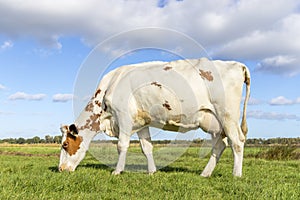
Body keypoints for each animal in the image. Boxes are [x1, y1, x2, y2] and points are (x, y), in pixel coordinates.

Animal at [58, 57, 251, 177]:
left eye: (65, 144)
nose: (60, 169)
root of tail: (237, 65)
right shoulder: (142, 123)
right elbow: (146, 147)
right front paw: (151, 171)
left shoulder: (123, 116)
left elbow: (121, 146)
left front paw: (117, 171)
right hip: (215, 123)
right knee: (220, 145)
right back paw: (205, 173)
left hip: (227, 114)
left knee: (237, 142)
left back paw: (236, 174)